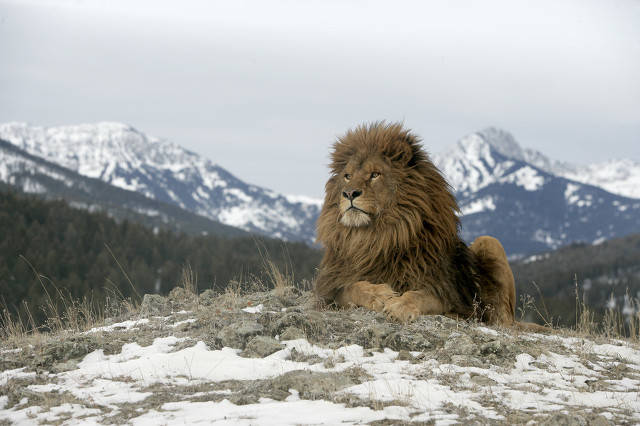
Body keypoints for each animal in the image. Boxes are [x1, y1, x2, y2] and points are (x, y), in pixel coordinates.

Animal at [316, 121, 536, 328]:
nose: (349, 193)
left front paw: (399, 306)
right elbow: (353, 288)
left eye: (375, 174)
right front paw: (379, 295)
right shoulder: (330, 290)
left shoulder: (445, 292)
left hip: (489, 243)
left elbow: (419, 295)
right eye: (347, 176)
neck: (378, 236)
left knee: (502, 321)